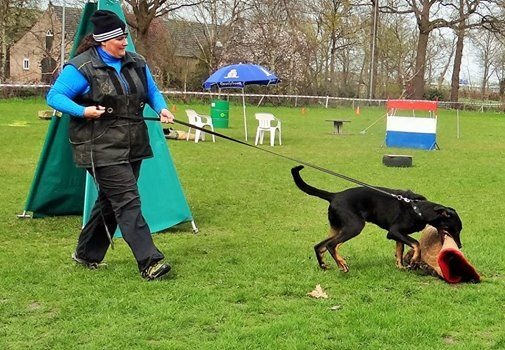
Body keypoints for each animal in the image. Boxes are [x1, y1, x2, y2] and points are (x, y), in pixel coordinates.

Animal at [292, 165, 460, 272]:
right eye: (456, 229)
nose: (460, 245)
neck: (418, 209)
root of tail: (334, 195)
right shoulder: (394, 231)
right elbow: (416, 244)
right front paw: (414, 261)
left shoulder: (399, 235)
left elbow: (399, 251)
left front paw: (401, 267)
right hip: (354, 225)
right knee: (331, 245)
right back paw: (342, 264)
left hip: (337, 227)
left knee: (319, 246)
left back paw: (325, 266)